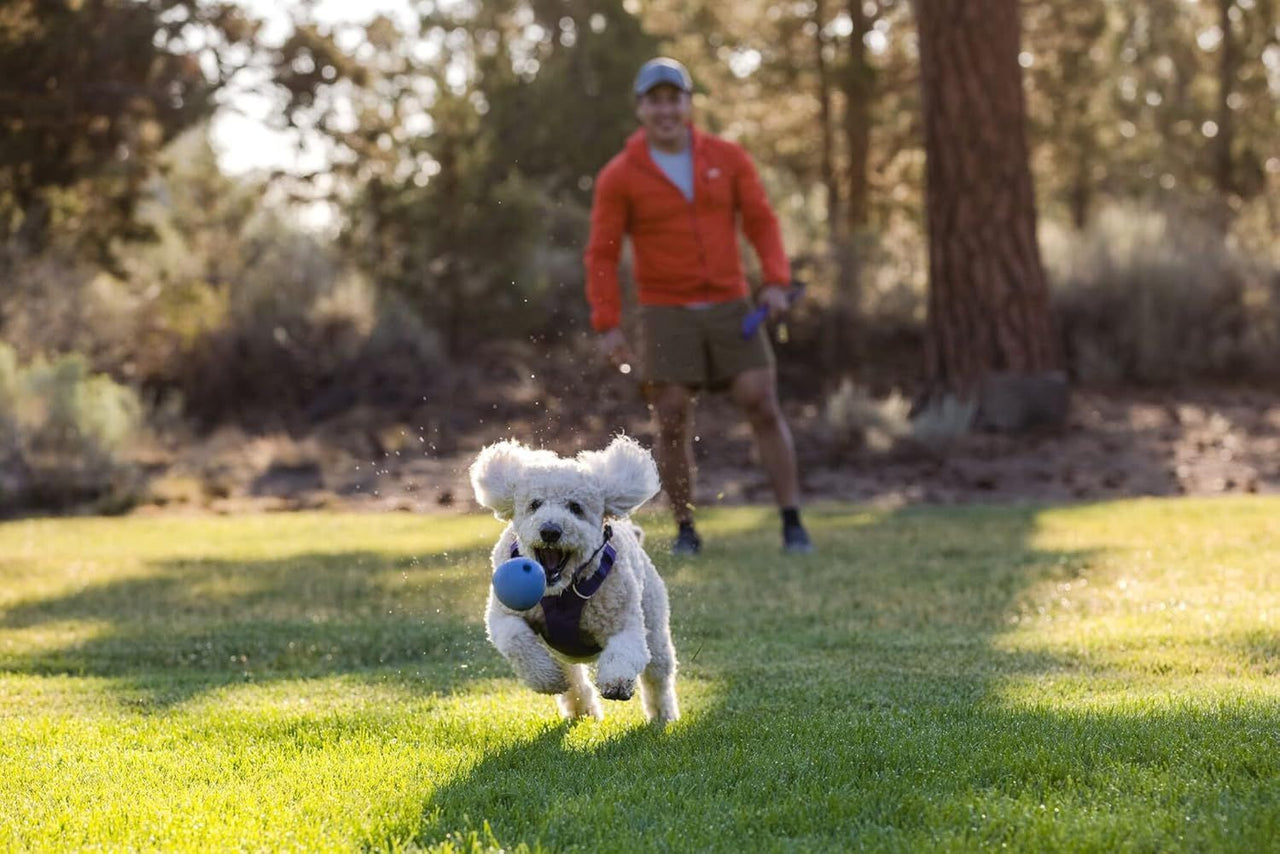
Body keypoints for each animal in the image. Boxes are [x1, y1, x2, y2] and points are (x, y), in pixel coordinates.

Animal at [471, 437, 680, 727]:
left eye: (575, 508)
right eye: (535, 504)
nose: (550, 531)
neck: (561, 592)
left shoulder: (624, 622)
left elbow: (626, 650)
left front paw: (616, 683)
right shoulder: (503, 616)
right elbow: (516, 640)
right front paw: (546, 678)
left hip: (654, 621)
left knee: (658, 675)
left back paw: (663, 716)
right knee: (573, 680)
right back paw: (582, 709)